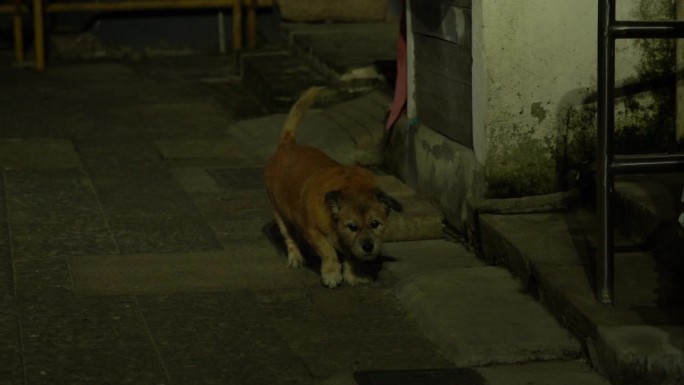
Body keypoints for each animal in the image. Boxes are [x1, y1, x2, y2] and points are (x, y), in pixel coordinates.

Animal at [262, 86, 400, 284]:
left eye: (375, 224)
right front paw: (332, 273)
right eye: (352, 227)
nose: (368, 247)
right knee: (290, 237)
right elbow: (328, 252)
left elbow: (350, 257)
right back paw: (296, 256)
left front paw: (353, 275)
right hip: (280, 214)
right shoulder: (314, 232)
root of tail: (287, 145)